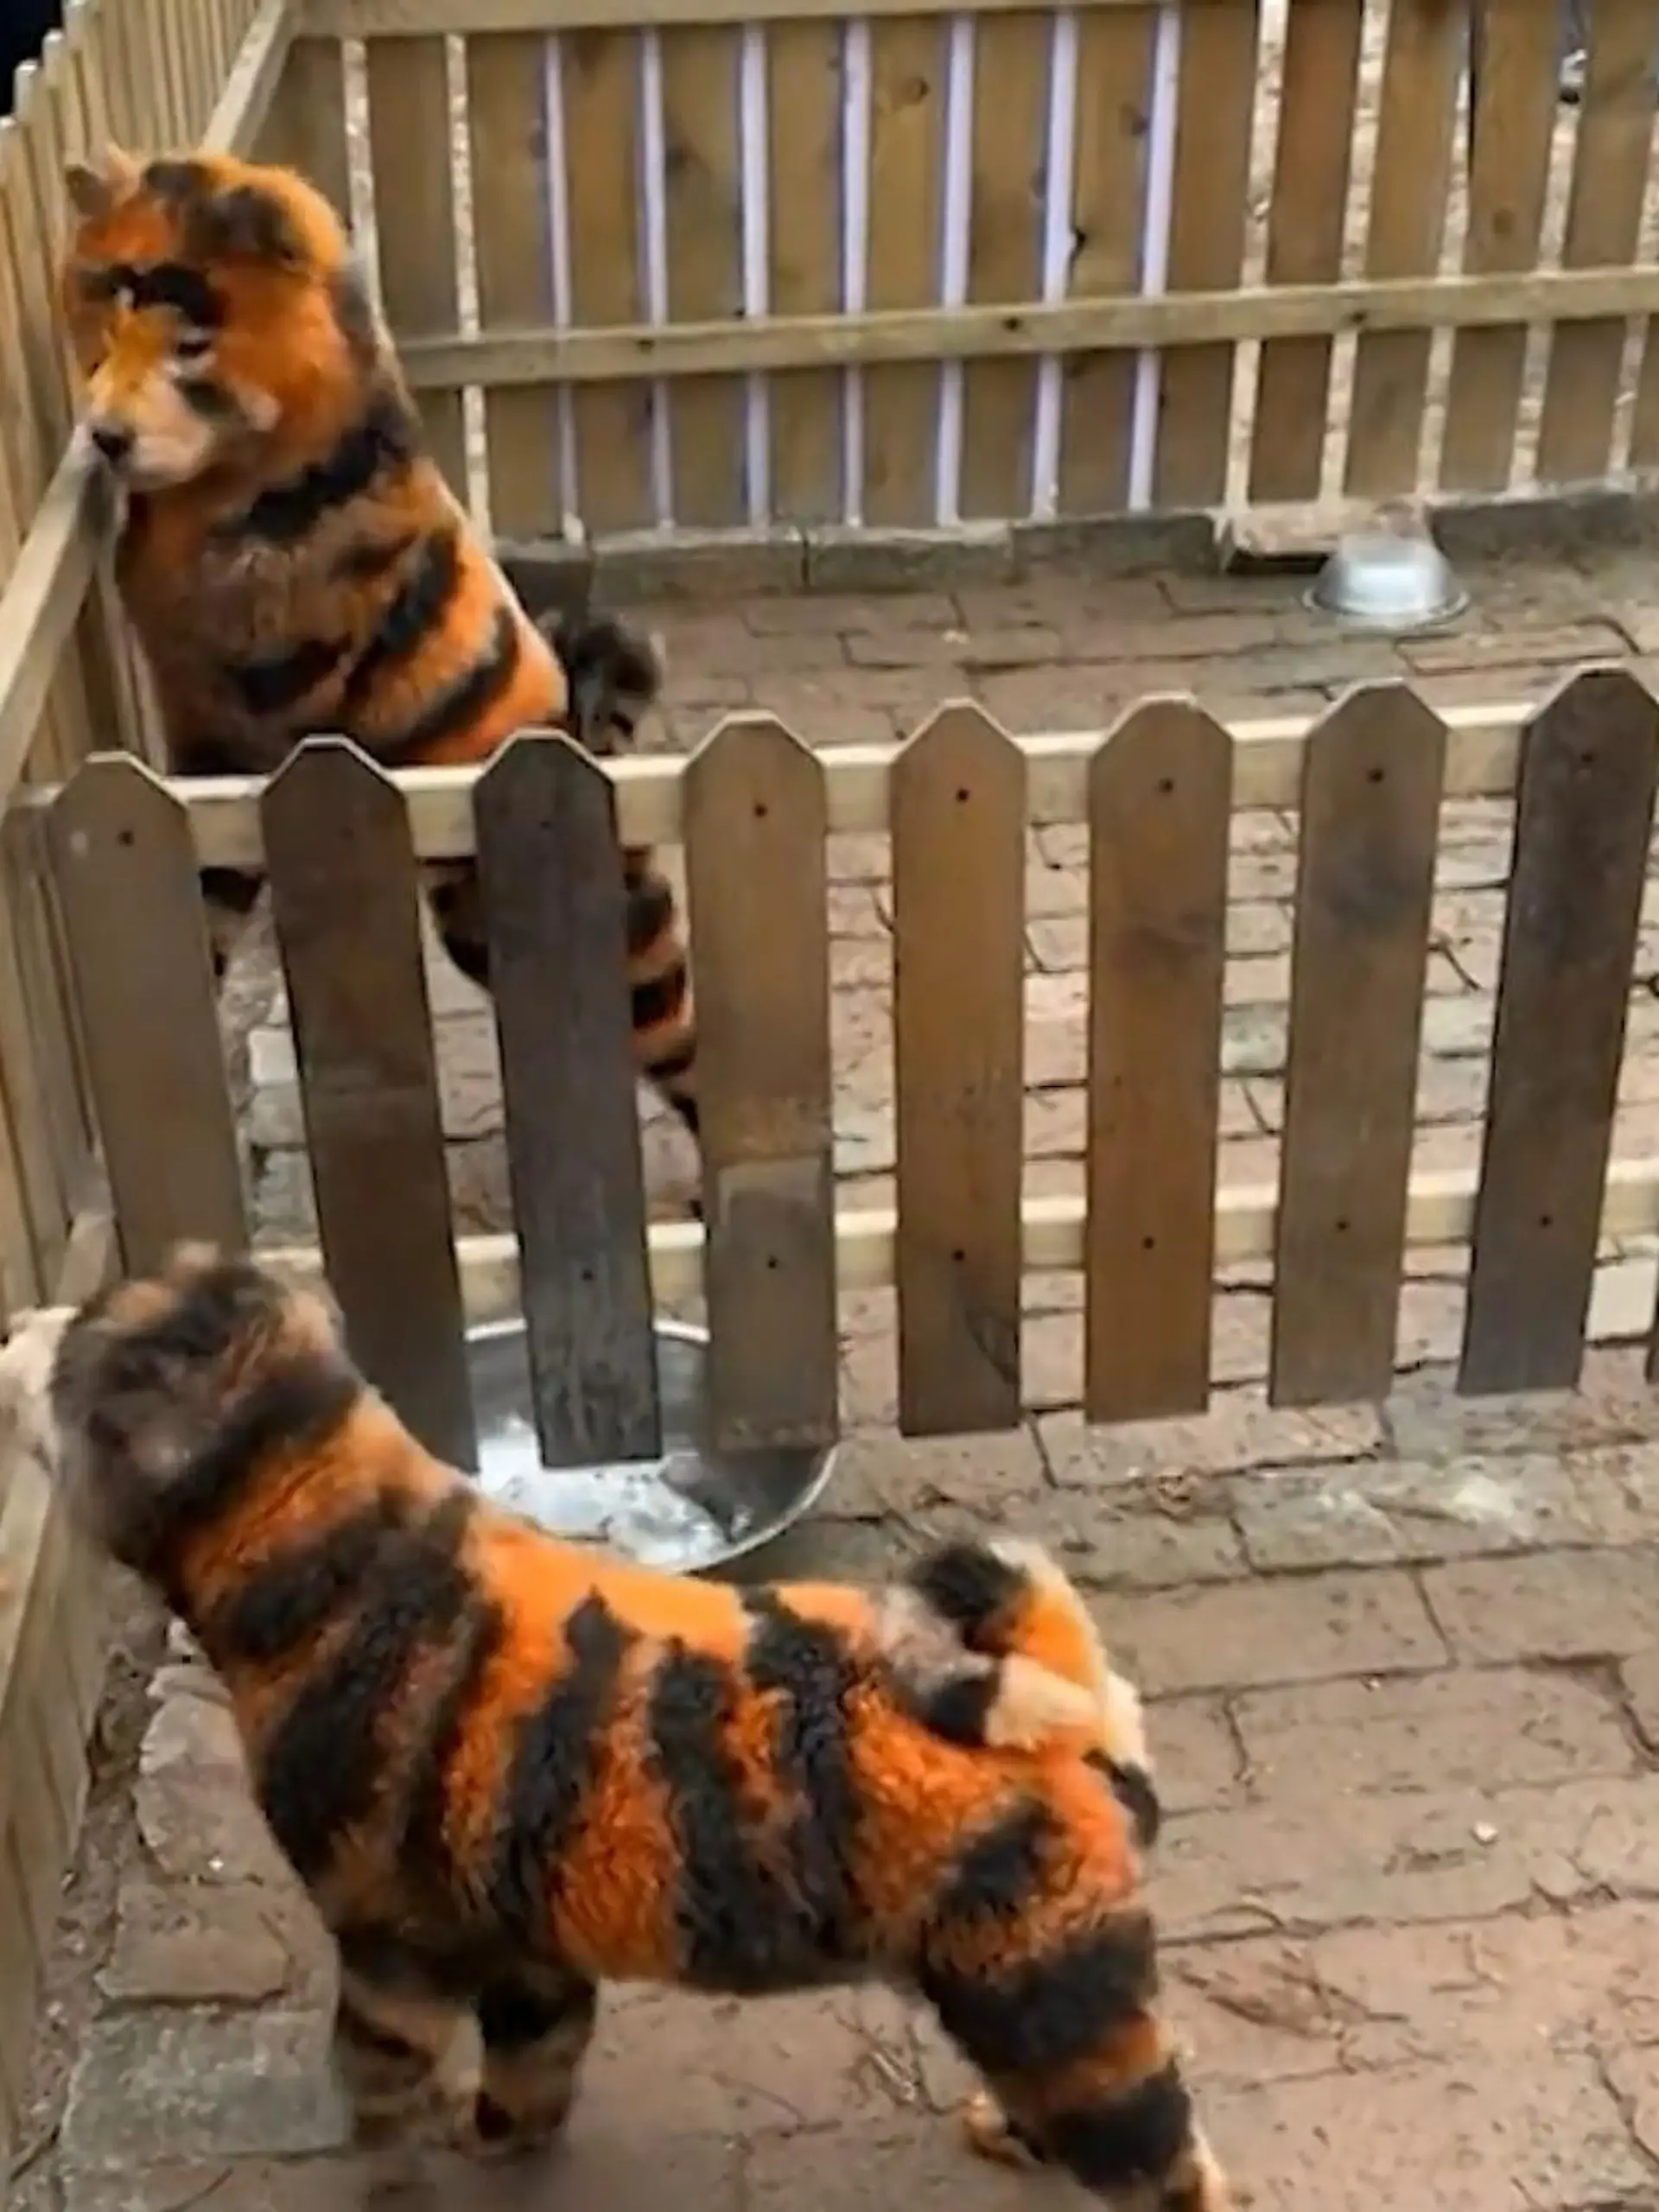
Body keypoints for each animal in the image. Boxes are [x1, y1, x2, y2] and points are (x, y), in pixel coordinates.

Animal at [0, 1244, 1228, 2212]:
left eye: (77, 1351)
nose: (13, 1324)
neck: (351, 1556)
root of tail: (1065, 1692)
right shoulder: (526, 1948)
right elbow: (532, 2074)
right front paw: (496, 2139)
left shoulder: (389, 1948)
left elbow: (374, 2088)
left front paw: (396, 2170)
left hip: (1056, 2000)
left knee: (1174, 2169)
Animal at [56, 143, 700, 1152]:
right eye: (105, 324)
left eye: (188, 345)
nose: (106, 437)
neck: (245, 486)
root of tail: (591, 748)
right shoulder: (200, 734)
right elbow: (198, 889)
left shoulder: (274, 733)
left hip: (634, 954)